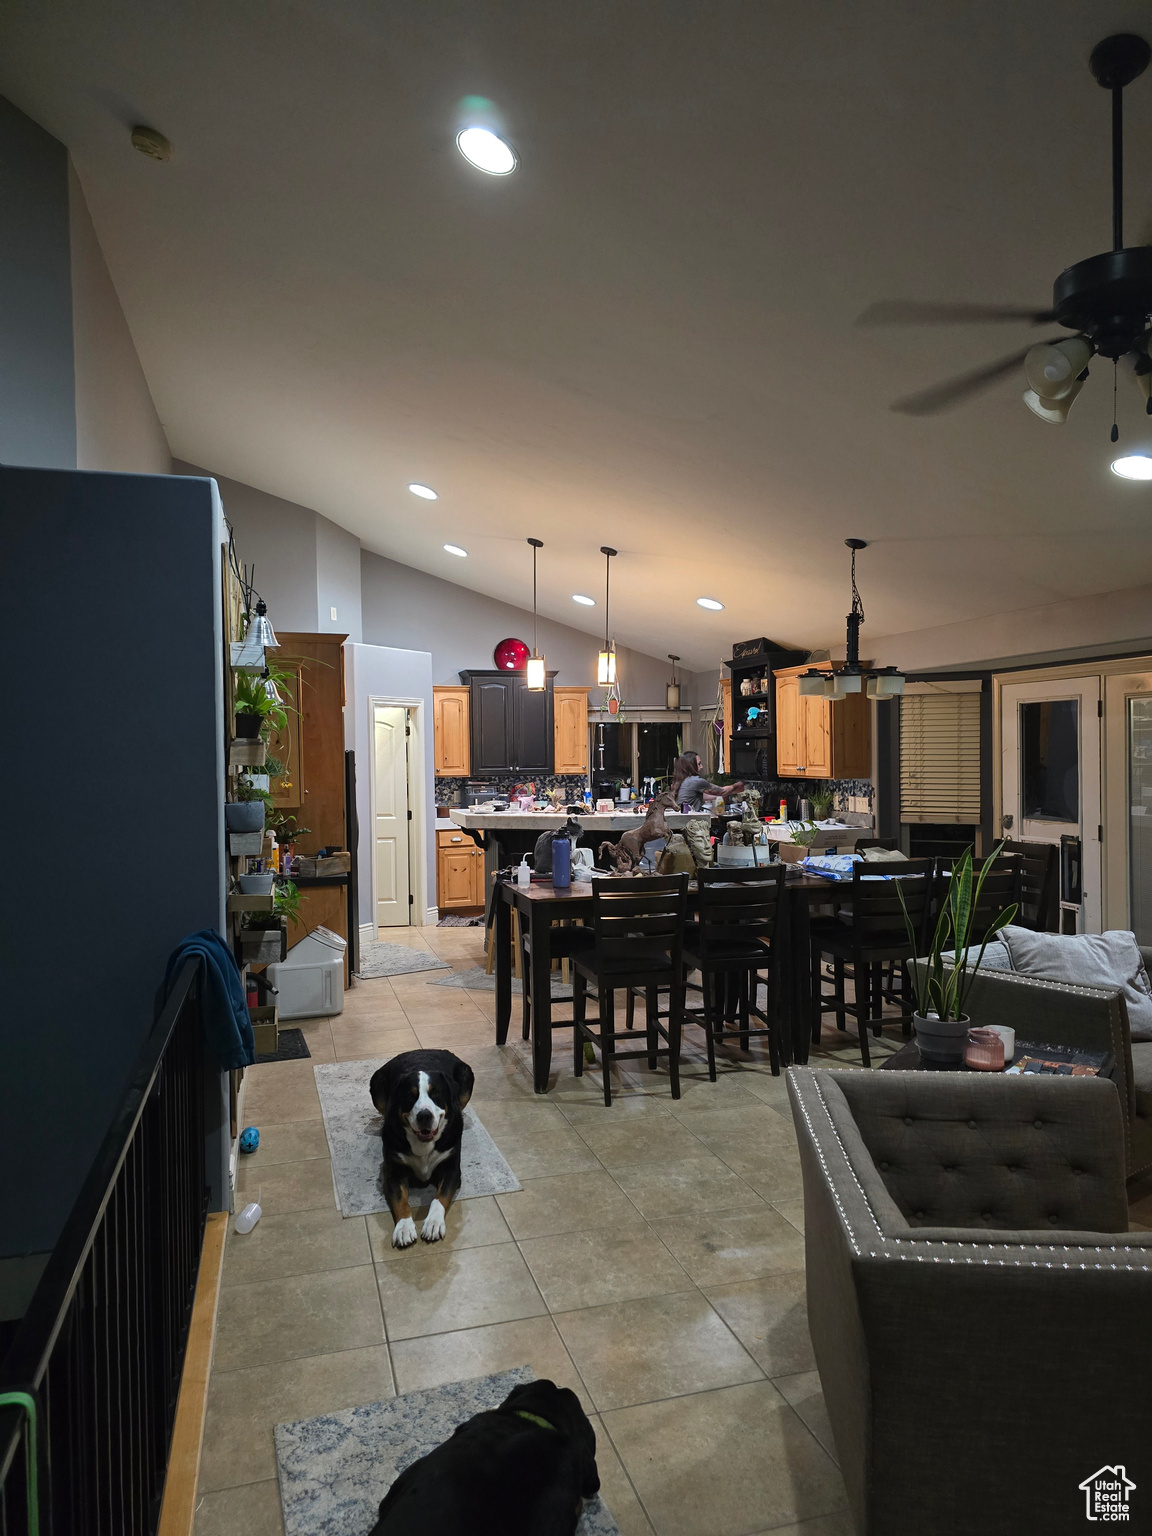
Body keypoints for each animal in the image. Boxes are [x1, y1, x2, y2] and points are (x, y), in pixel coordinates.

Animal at [371, 1044, 476, 1247]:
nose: (424, 1116)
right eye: (410, 1096)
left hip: (466, 1077)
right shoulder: (394, 1171)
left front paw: (433, 1223)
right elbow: (400, 1200)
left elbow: (440, 1197)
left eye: (436, 1093)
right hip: (377, 1084)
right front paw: (404, 1228)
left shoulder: (451, 1168)